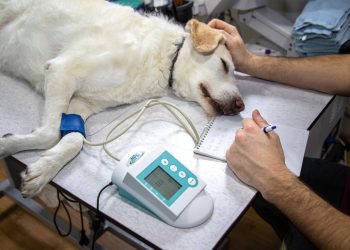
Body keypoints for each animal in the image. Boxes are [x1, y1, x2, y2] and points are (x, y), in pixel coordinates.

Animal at [0, 0, 245, 199]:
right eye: (224, 65)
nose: (240, 106)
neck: (165, 59)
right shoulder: (62, 71)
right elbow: (50, 134)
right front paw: (7, 146)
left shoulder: (81, 103)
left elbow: (74, 140)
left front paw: (42, 170)